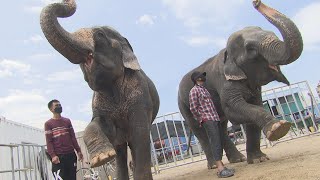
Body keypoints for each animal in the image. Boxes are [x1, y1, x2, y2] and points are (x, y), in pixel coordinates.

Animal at [40, 0, 160, 179]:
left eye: (99, 35)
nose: (67, 2)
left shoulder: (140, 96)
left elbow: (140, 134)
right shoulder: (98, 102)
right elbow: (98, 124)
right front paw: (102, 158)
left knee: (132, 145)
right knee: (120, 149)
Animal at [179, 0, 304, 167]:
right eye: (250, 49)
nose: (256, 3)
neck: (226, 52)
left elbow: (254, 105)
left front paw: (258, 159)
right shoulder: (224, 81)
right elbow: (234, 109)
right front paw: (278, 128)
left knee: (220, 125)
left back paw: (238, 159)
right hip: (184, 105)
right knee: (200, 130)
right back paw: (214, 165)